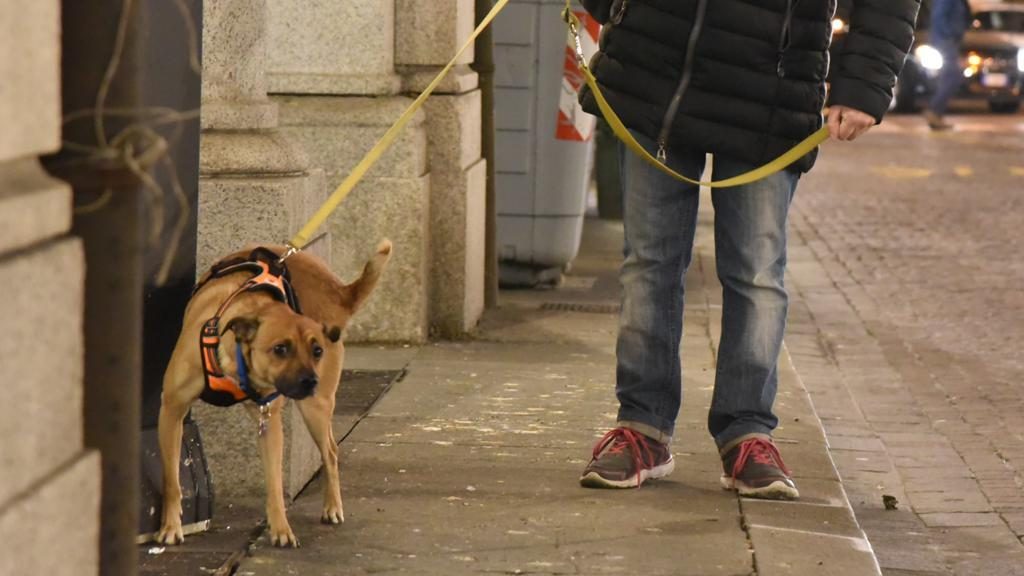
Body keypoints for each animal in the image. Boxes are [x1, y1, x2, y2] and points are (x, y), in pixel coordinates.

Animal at [155, 239, 391, 545]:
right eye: (280, 349)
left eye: (316, 351)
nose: (310, 381)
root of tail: (338, 293)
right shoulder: (172, 409)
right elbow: (172, 480)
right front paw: (171, 527)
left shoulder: (270, 423)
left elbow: (275, 484)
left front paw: (280, 528)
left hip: (316, 407)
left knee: (330, 451)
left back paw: (332, 506)